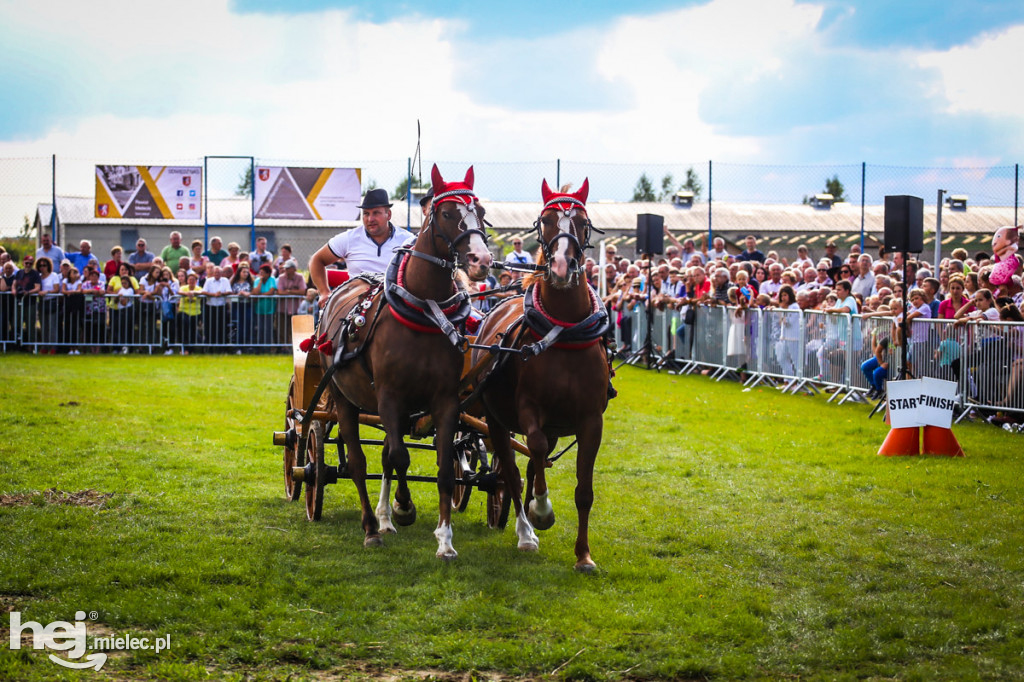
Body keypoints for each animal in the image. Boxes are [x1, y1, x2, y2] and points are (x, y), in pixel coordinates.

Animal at [313, 164, 501, 557]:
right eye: (447, 214)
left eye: (481, 212)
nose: (481, 262)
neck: (424, 310)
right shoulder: (389, 396)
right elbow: (400, 458)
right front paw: (404, 508)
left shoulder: (445, 400)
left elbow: (442, 469)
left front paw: (444, 541)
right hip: (342, 397)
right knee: (358, 461)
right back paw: (372, 526)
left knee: (385, 451)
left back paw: (384, 518)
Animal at [468, 175, 606, 569]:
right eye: (545, 220)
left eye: (582, 221)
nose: (561, 266)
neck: (563, 331)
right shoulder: (529, 409)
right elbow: (535, 450)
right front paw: (541, 512)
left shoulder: (590, 420)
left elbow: (583, 490)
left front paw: (584, 556)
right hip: (496, 420)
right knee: (513, 472)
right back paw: (526, 531)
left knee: (530, 466)